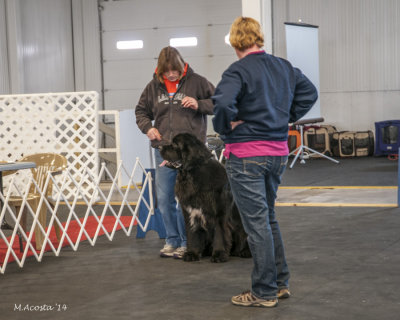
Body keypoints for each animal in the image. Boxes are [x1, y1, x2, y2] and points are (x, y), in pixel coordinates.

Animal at [160, 132, 250, 262]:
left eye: (175, 145)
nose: (159, 147)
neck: (192, 173)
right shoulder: (190, 212)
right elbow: (192, 233)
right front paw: (192, 253)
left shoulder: (220, 213)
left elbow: (220, 233)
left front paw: (218, 254)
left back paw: (244, 251)